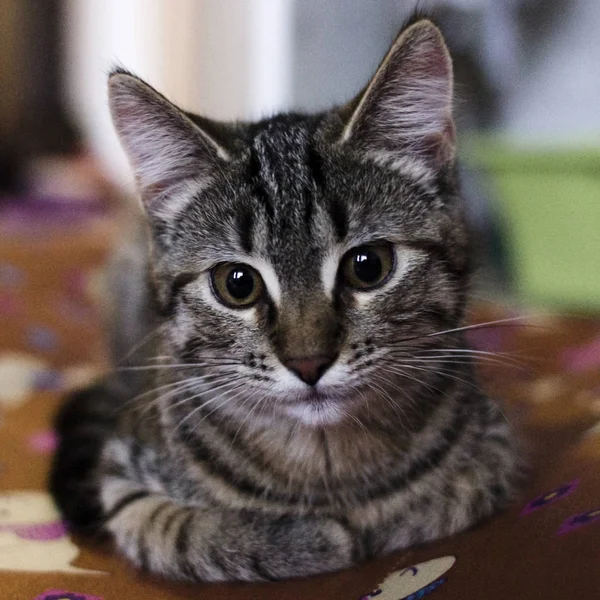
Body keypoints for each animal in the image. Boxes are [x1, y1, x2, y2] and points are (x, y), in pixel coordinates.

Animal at [50, 17, 520, 580]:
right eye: (237, 284)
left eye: (369, 266)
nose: (309, 362)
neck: (327, 467)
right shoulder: (122, 477)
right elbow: (182, 531)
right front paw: (308, 539)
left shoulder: (495, 451)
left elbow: (443, 501)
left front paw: (388, 519)